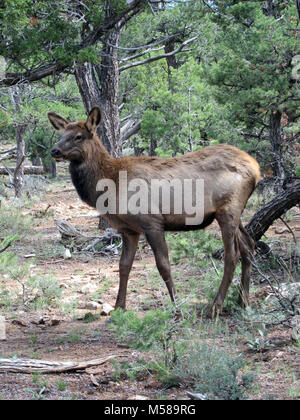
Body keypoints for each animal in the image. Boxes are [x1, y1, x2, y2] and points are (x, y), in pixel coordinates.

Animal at [47, 106, 260, 316]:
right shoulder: (129, 230)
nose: (54, 150)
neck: (110, 184)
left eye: (78, 136)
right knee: (248, 244)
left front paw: (177, 308)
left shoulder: (152, 222)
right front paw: (118, 307)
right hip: (235, 212)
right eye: (61, 134)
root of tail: (257, 169)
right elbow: (123, 266)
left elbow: (163, 266)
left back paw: (215, 307)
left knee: (232, 255)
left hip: (228, 210)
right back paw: (243, 302)